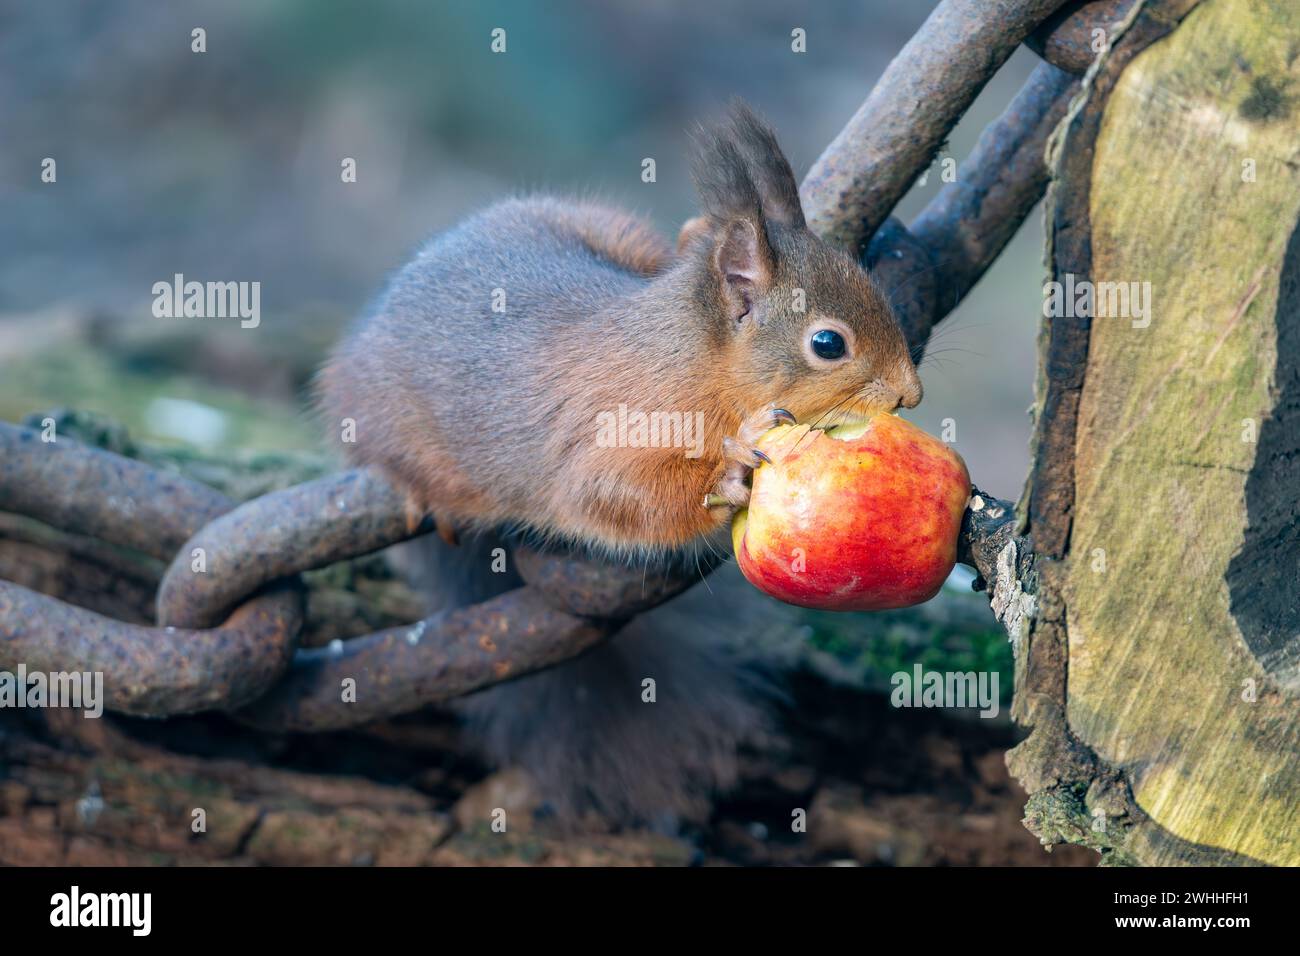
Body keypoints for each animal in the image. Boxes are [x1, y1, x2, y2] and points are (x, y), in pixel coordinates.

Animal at [315, 104, 925, 832]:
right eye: (828, 343)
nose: (910, 394)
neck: (695, 365)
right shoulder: (608, 437)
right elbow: (617, 500)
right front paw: (726, 477)